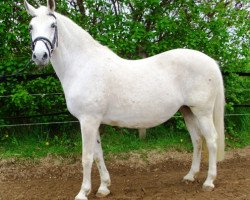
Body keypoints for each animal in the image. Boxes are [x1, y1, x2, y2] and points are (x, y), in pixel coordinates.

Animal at [24, 0, 225, 199]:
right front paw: (103, 187)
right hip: (187, 111)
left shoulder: (88, 120)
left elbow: (87, 157)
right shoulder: (93, 121)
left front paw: (83, 192)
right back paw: (190, 176)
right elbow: (98, 154)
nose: (40, 56)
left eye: (53, 25)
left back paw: (209, 182)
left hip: (202, 112)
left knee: (211, 140)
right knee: (197, 140)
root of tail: (211, 62)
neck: (83, 66)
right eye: (30, 27)